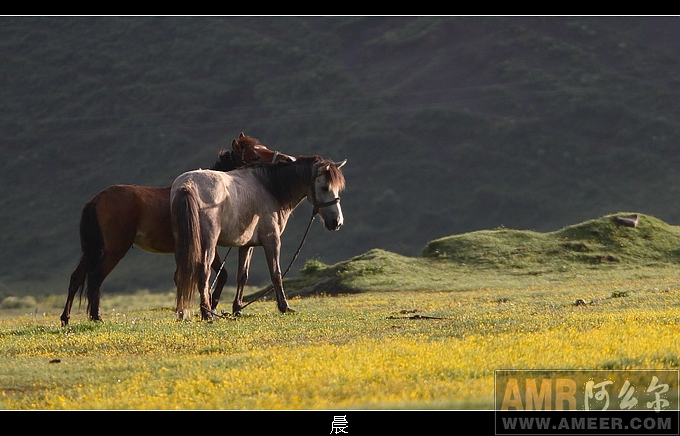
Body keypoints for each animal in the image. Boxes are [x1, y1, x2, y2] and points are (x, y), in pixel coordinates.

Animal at [58, 135, 292, 326]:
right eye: (255, 156)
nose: (287, 159)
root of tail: (96, 200)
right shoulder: (209, 244)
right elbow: (218, 274)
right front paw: (210, 306)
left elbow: (218, 274)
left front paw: (211, 305)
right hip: (114, 250)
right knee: (95, 278)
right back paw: (95, 316)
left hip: (92, 250)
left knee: (76, 278)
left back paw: (66, 318)